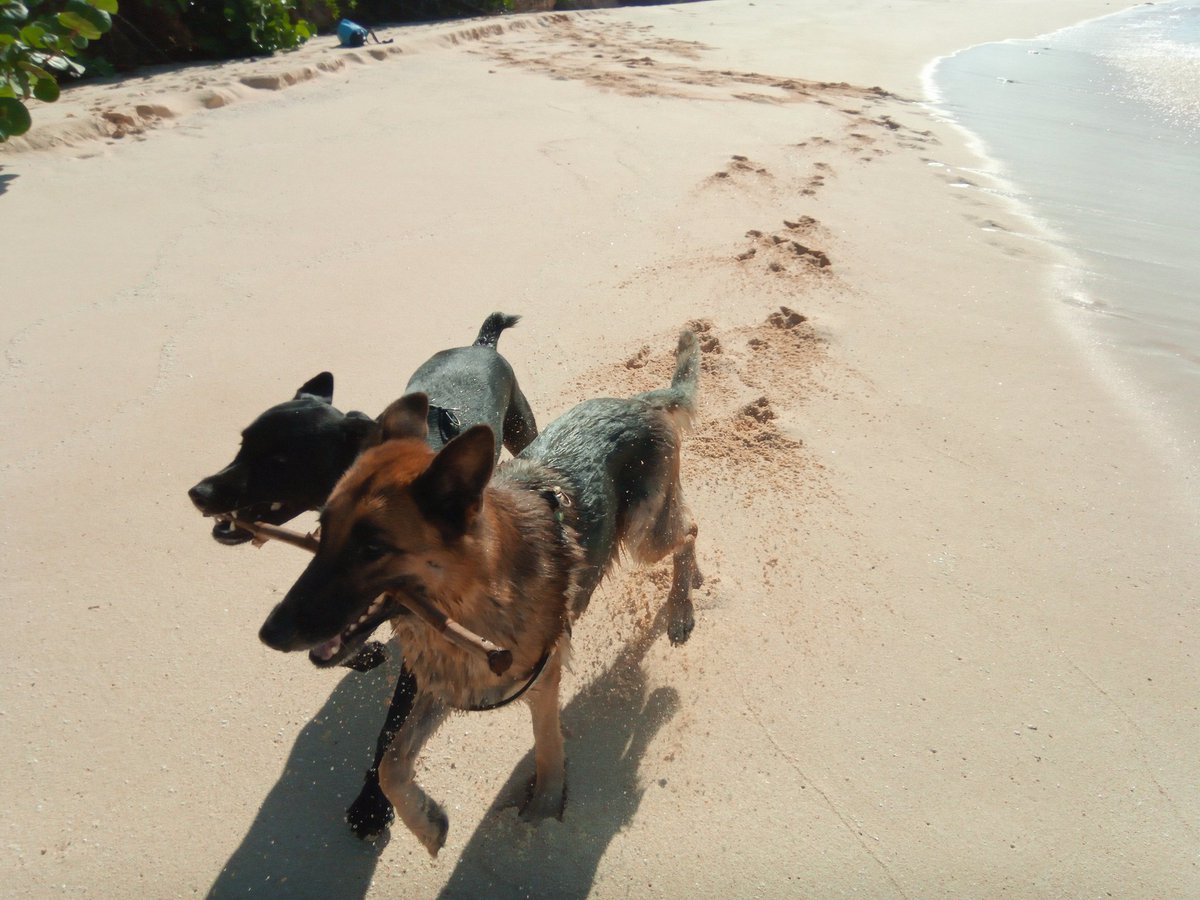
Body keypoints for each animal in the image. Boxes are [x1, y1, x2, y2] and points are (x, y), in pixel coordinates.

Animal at [186, 314, 535, 844]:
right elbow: (335, 633)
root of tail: (481, 344)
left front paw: (372, 803)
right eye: (242, 443)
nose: (199, 492)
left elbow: (391, 731)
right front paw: (363, 653)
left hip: (520, 427)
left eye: (280, 460)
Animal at [258, 333, 700, 859]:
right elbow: (391, 762)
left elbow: (548, 747)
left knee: (689, 530)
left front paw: (544, 808)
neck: (473, 600)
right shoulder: (442, 685)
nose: (270, 633)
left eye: (372, 548)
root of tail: (636, 402)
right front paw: (425, 822)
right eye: (321, 531)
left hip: (643, 534)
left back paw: (681, 607)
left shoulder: (542, 681)